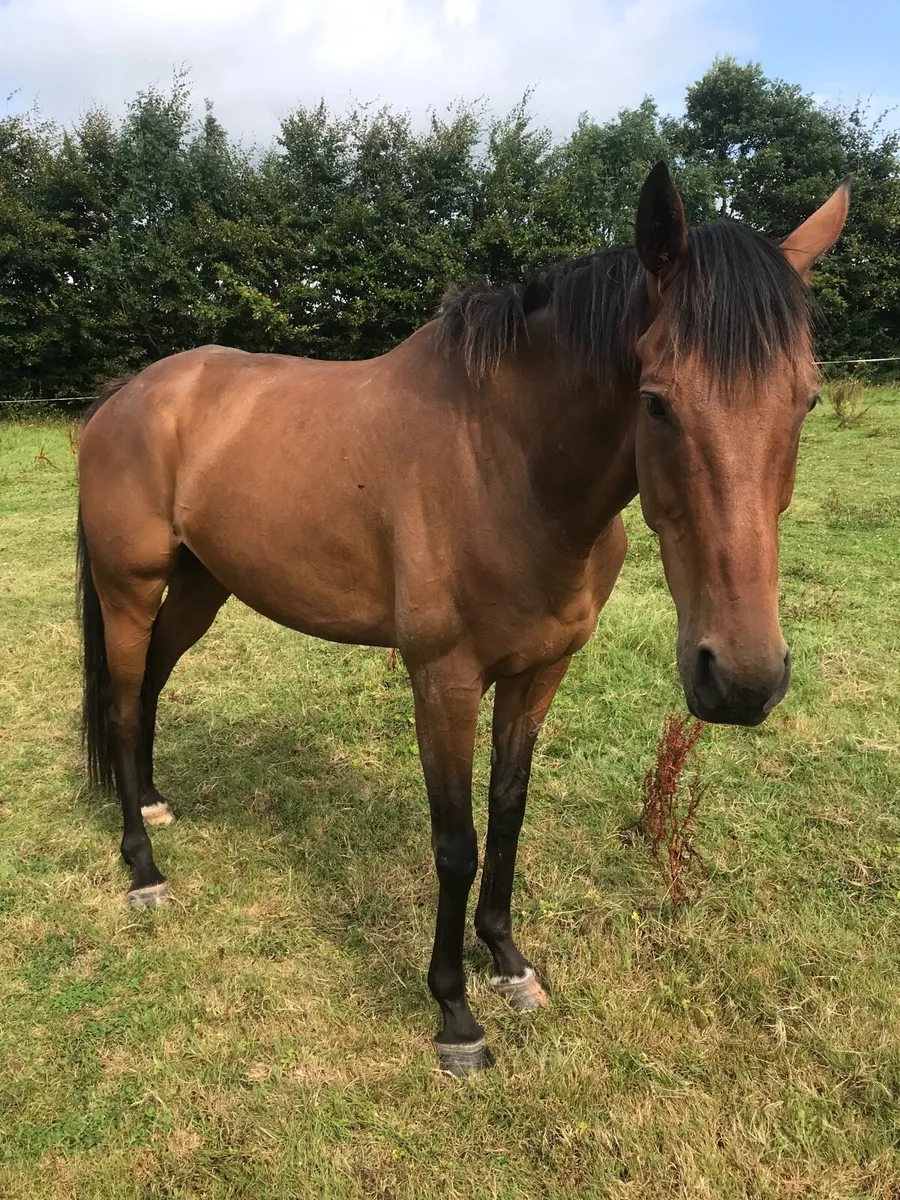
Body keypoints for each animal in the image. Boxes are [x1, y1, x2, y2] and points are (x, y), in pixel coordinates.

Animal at [76, 163, 850, 1075]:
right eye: (657, 402)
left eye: (806, 401)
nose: (742, 678)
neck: (505, 465)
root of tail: (125, 396)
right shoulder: (442, 681)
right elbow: (455, 842)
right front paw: (455, 1015)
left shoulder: (539, 673)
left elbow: (508, 813)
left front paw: (508, 961)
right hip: (130, 589)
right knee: (123, 704)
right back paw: (144, 870)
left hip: (201, 586)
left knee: (152, 683)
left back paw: (156, 802)